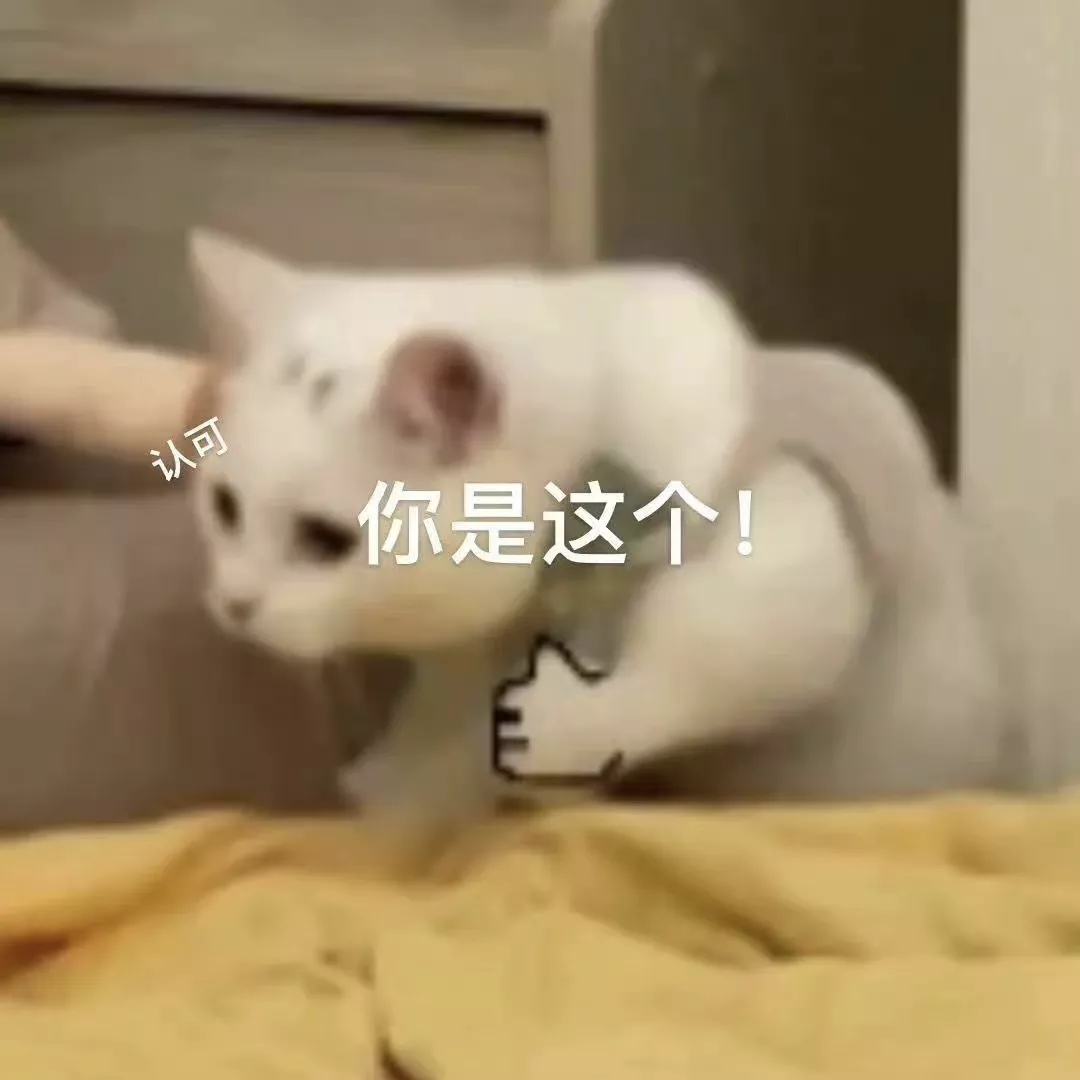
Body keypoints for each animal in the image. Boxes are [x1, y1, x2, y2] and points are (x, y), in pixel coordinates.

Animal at [188, 230, 1009, 822]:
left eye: (323, 539)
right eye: (224, 506)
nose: (234, 603)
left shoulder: (789, 548)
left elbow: (695, 662)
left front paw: (549, 734)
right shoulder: (472, 646)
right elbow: (442, 715)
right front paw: (407, 789)